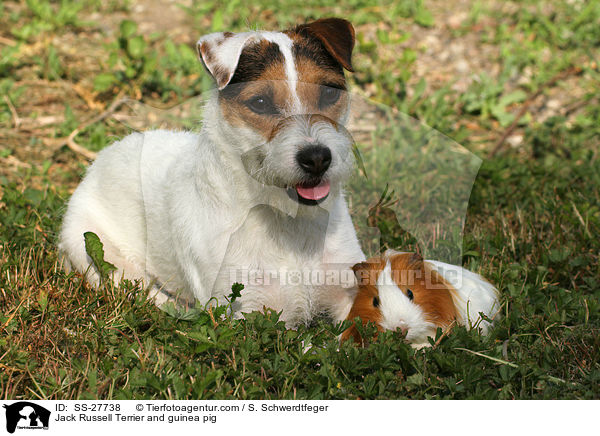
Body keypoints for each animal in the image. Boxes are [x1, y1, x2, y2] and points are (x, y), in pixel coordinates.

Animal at [57, 18, 366, 326]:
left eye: (329, 92)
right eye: (260, 103)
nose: (317, 158)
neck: (289, 222)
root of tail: (102, 157)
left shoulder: (351, 294)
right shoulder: (250, 315)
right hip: (99, 255)